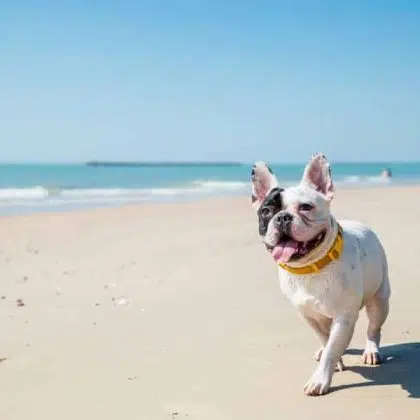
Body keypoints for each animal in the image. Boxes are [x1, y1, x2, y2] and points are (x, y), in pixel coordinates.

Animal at [249, 153, 390, 396]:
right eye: (267, 212)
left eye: (306, 207)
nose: (283, 217)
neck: (310, 267)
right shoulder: (309, 315)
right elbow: (326, 341)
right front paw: (332, 360)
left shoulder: (344, 317)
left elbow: (333, 347)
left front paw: (320, 378)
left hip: (380, 300)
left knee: (374, 327)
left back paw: (372, 350)